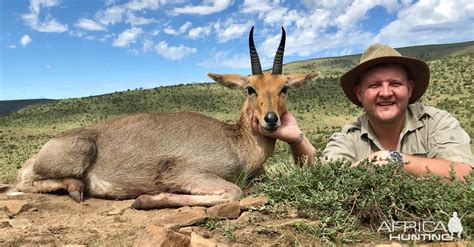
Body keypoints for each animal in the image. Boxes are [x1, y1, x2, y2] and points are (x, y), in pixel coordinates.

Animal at [15, 26, 318, 208]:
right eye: (250, 88)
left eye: (284, 88)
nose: (271, 119)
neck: (237, 143)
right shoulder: (186, 172)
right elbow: (234, 191)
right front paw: (147, 199)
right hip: (78, 152)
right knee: (22, 179)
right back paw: (76, 187)